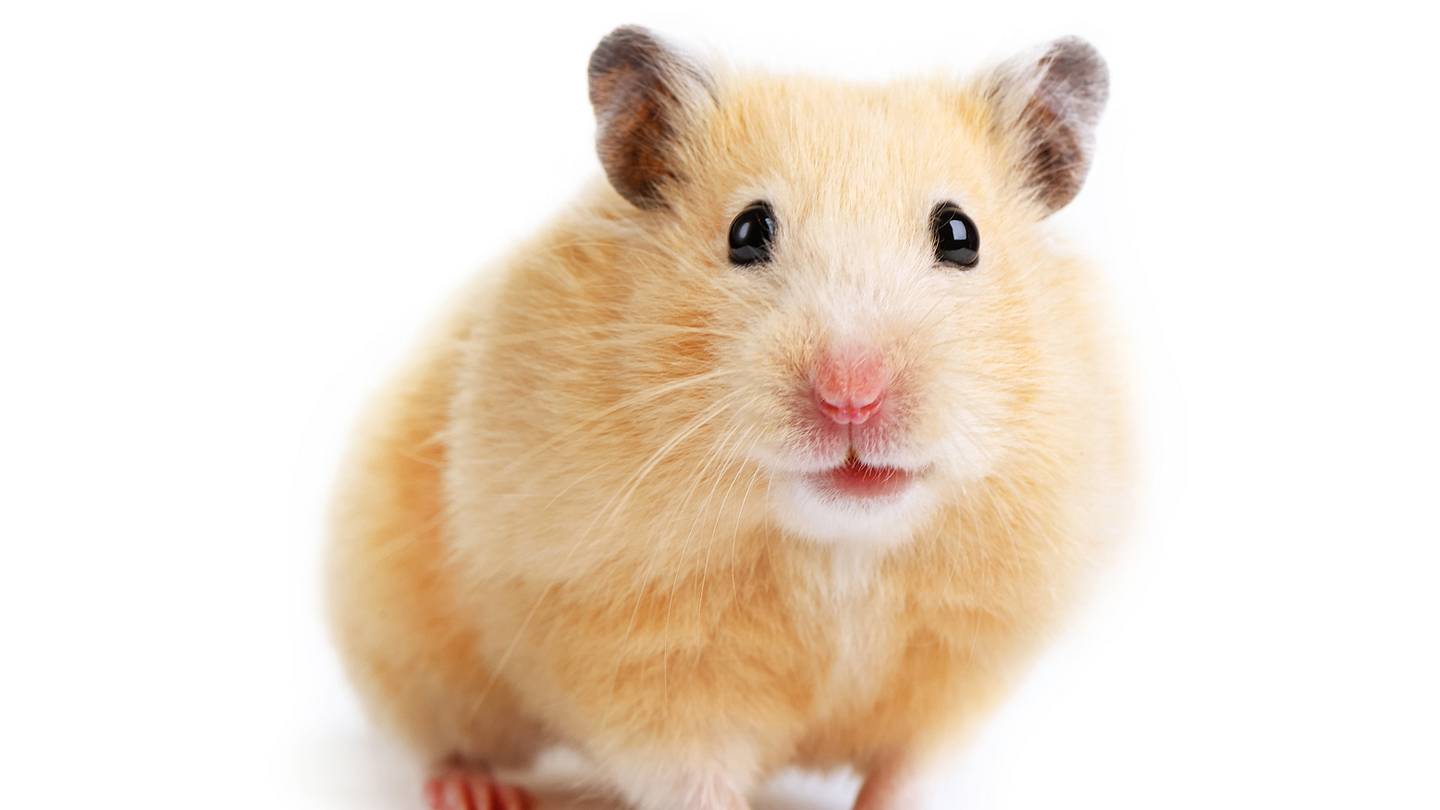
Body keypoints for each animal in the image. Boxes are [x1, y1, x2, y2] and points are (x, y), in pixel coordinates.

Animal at [328, 25, 1129, 810]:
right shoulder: (639, 661)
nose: (851, 394)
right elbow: (692, 775)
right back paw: (475, 791)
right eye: (747, 232)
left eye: (961, 235)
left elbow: (908, 774)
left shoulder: (959, 673)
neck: (839, 550)